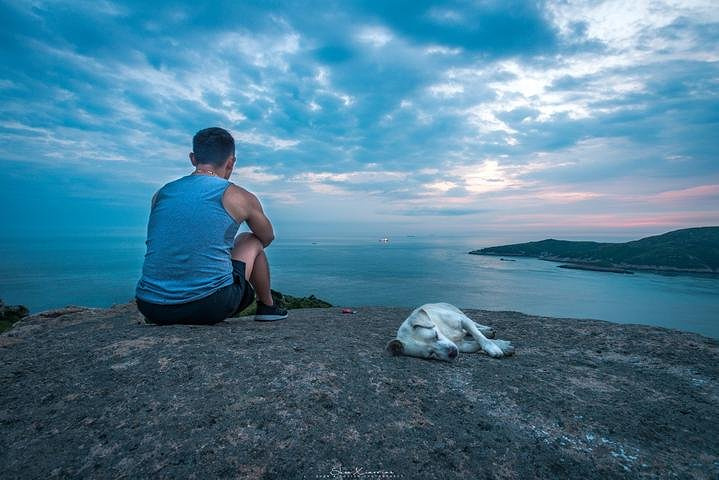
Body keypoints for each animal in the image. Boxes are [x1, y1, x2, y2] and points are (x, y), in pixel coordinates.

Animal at [386, 304, 516, 360]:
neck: (445, 332)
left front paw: (493, 347)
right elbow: (476, 344)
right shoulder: (462, 345)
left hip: (460, 313)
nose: (452, 353)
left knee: (475, 325)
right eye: (431, 354)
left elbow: (479, 337)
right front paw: (503, 346)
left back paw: (487, 330)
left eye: (436, 335)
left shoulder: (462, 320)